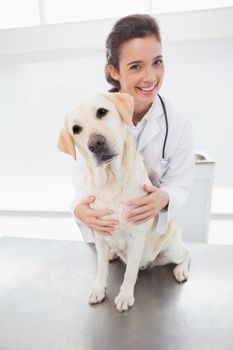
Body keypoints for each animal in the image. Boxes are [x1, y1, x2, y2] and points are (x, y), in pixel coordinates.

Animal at [57, 92, 190, 312]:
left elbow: (129, 273)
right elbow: (101, 269)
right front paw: (98, 289)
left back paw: (181, 271)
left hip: (172, 248)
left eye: (102, 111)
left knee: (187, 254)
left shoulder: (136, 239)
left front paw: (125, 296)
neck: (112, 182)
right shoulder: (100, 235)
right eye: (76, 129)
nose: (95, 143)